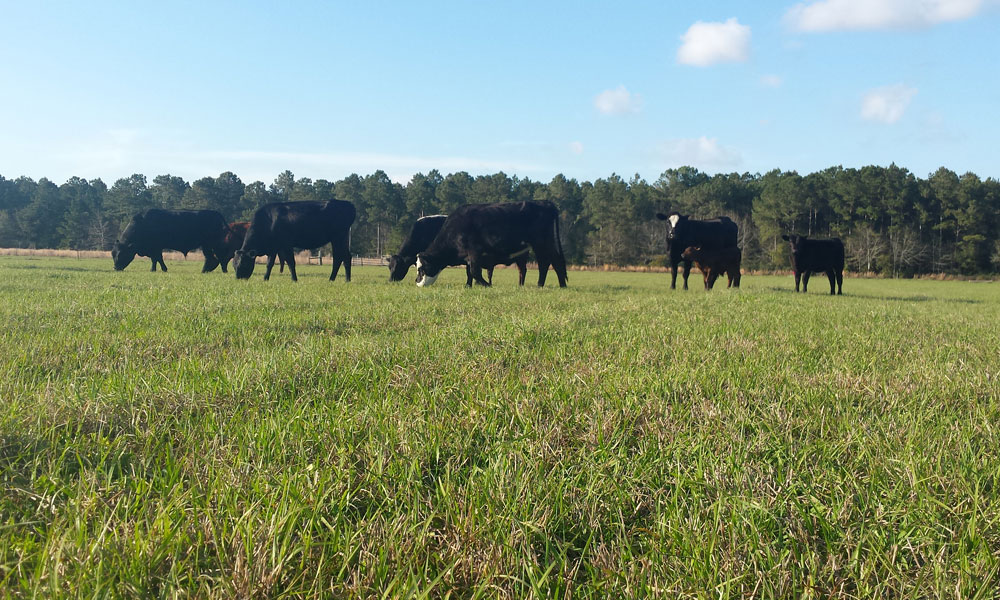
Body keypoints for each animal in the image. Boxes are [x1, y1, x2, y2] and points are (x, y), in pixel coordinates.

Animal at [388, 214, 529, 285]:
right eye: (389, 267)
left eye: (399, 267)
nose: (390, 280)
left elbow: (469, 272)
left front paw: (469, 285)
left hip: (522, 257)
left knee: (522, 271)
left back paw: (521, 285)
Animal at [414, 201, 567, 288]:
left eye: (421, 269)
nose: (416, 281)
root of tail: (545, 203)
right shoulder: (469, 257)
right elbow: (471, 272)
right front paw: (471, 285)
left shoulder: (474, 251)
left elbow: (474, 272)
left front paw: (487, 285)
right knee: (549, 262)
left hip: (542, 242)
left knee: (549, 262)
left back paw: (551, 285)